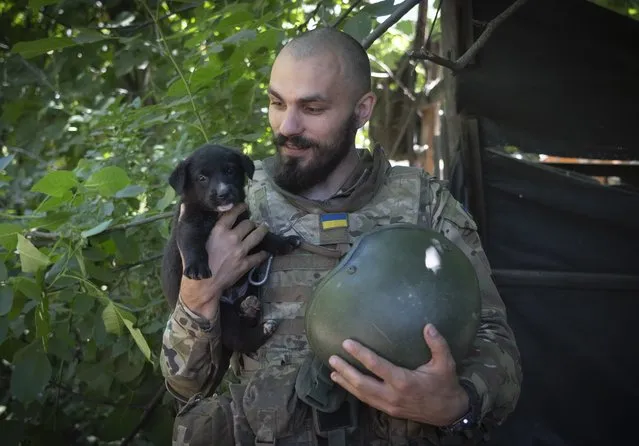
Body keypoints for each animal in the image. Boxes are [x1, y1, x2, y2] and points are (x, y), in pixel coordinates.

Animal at [160, 142, 300, 352]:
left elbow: (263, 236)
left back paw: (250, 309)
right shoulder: (189, 224)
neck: (218, 214)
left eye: (230, 170)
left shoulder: (243, 223)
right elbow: (192, 244)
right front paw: (197, 268)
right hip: (222, 316)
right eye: (202, 178)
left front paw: (284, 242)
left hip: (250, 290)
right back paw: (263, 328)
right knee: (239, 339)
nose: (223, 193)